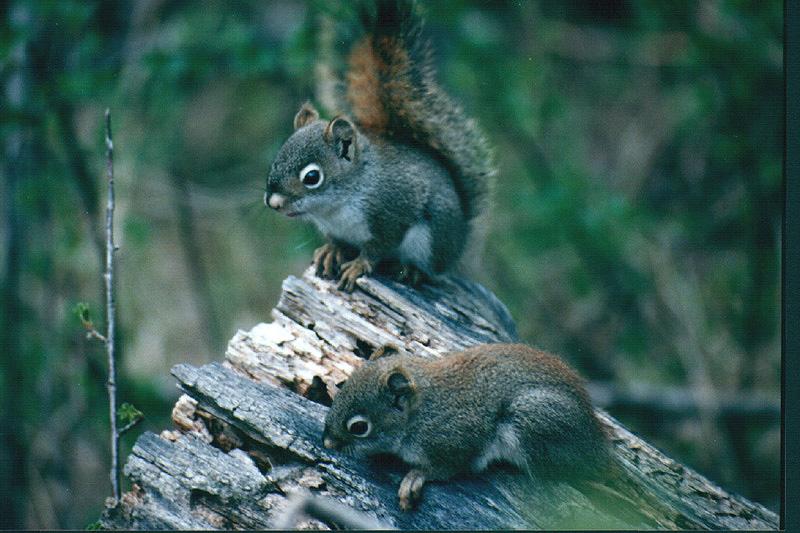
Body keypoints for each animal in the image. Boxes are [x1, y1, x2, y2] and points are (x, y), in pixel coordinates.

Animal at [266, 0, 496, 290]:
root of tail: (461, 236)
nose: (273, 203)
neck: (335, 207)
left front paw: (358, 265)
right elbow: (337, 242)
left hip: (434, 240)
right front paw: (331, 251)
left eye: (312, 177)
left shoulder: (393, 213)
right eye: (276, 160)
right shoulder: (335, 228)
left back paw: (412, 272)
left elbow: (378, 247)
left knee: (432, 271)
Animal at [322, 342, 608, 510]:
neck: (422, 413)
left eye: (359, 427)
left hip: (532, 420)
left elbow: (446, 469)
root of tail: (596, 442)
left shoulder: (455, 444)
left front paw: (415, 478)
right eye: (343, 386)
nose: (326, 442)